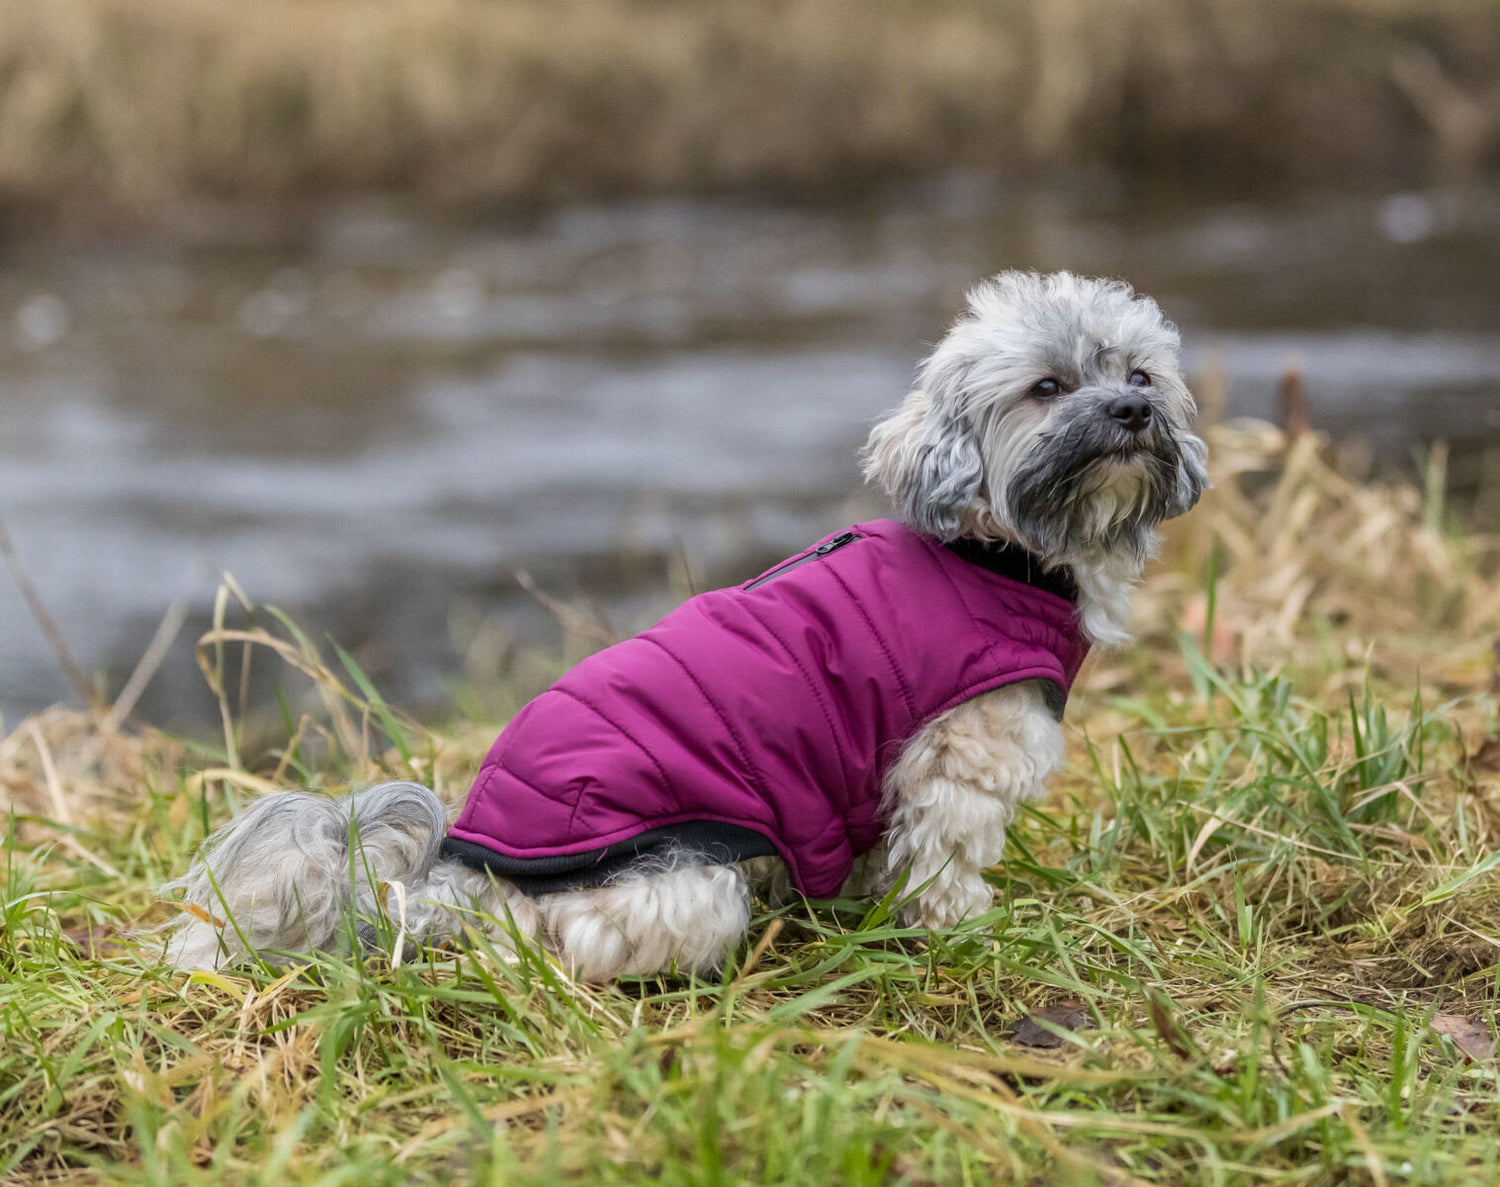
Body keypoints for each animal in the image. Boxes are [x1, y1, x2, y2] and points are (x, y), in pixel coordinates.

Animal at [161, 274, 1206, 978]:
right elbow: (944, 857)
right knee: (567, 942)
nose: (1131, 408)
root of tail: (452, 868)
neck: (994, 551)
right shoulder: (958, 758)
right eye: (1046, 387)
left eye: (1139, 372)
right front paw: (964, 924)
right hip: (689, 880)